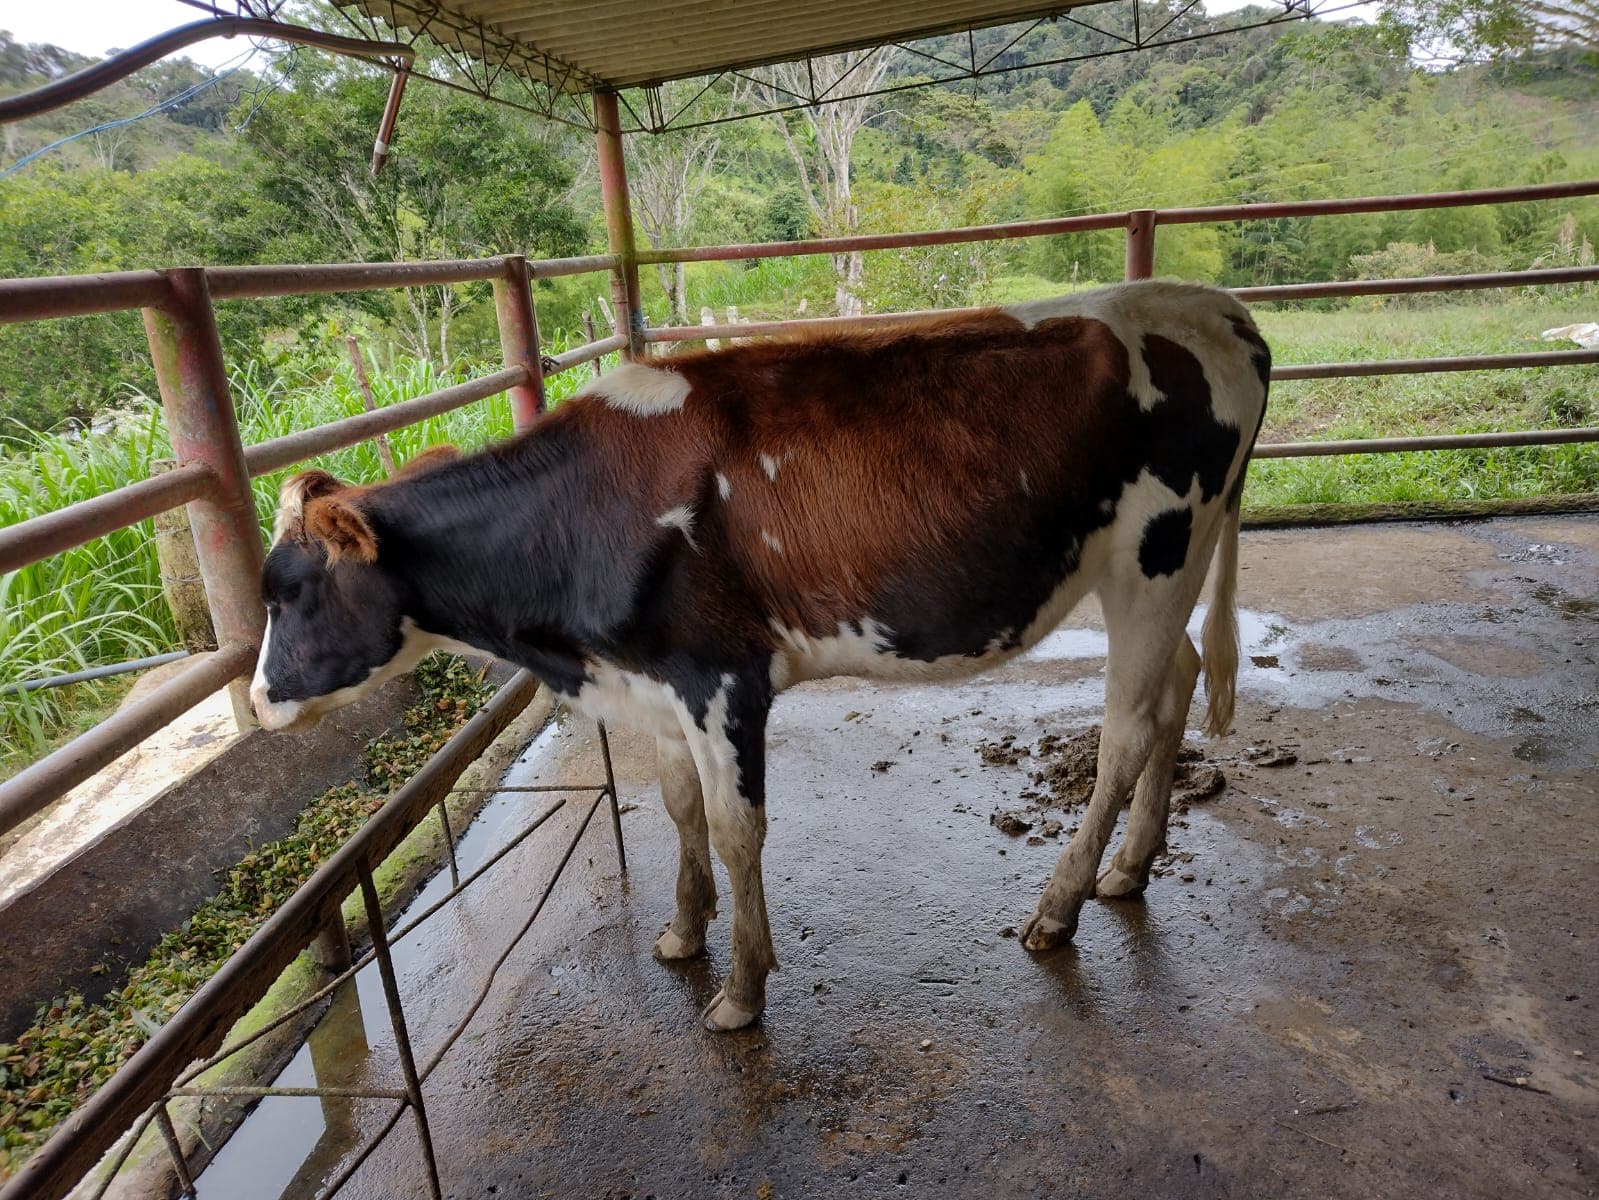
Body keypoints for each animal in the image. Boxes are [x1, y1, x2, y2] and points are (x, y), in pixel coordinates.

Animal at [250, 280, 1270, 1031]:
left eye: (286, 591)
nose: (258, 701)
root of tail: (1216, 305)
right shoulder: (654, 681)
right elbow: (678, 806)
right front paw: (679, 931)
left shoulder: (722, 677)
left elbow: (737, 828)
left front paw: (739, 992)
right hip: (1153, 568)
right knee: (1177, 684)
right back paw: (1129, 867)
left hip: (1155, 550)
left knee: (1126, 728)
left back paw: (1060, 907)